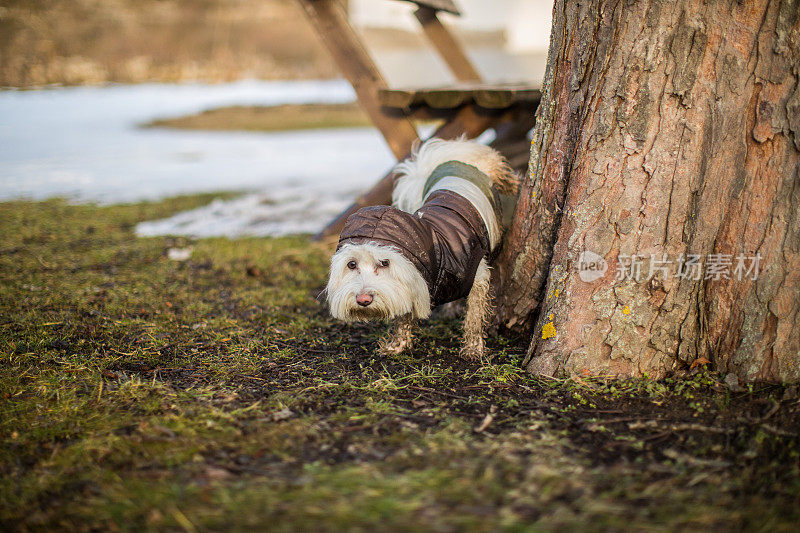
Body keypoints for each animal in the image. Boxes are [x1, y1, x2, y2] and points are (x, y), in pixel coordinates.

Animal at [324, 137, 520, 360]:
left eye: (384, 263)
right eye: (351, 264)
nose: (363, 299)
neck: (438, 249)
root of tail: (439, 160)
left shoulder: (477, 276)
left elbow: (474, 317)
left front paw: (473, 348)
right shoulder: (412, 283)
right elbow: (404, 317)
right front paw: (397, 344)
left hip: (489, 169)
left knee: (504, 174)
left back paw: (516, 183)